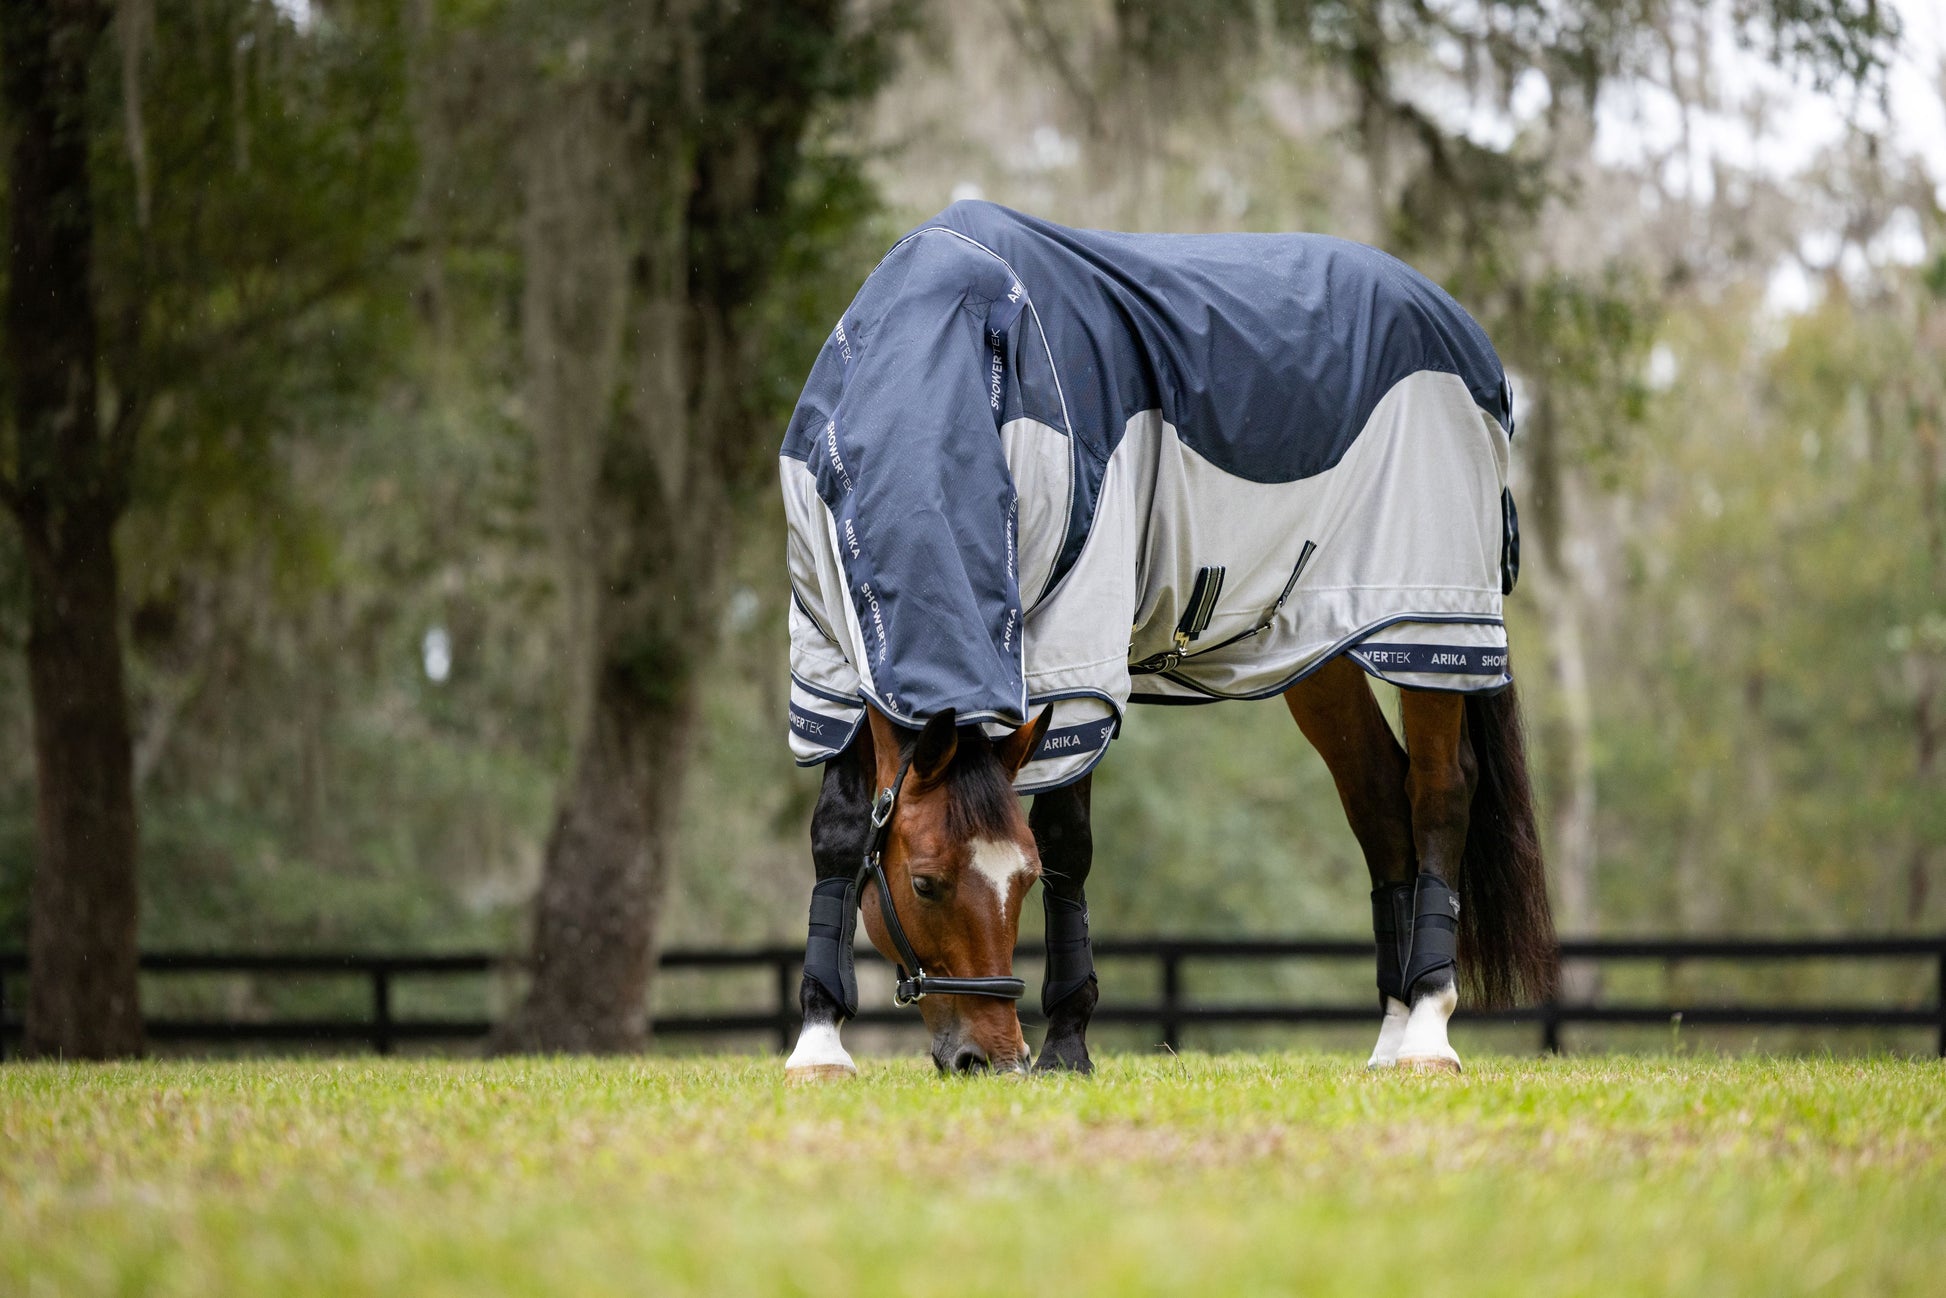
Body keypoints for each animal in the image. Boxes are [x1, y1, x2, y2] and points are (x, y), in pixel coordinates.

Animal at [777, 201, 1558, 1078]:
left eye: (1022, 883)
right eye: (926, 883)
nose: (993, 1058)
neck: (932, 360)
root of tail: (1461, 329)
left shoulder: (1072, 661)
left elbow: (1068, 838)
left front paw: (1068, 1045)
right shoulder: (834, 666)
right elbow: (839, 834)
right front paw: (818, 1045)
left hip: (1430, 626)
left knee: (1440, 794)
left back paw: (1427, 1027)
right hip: (1319, 649)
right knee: (1380, 796)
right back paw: (1390, 1038)